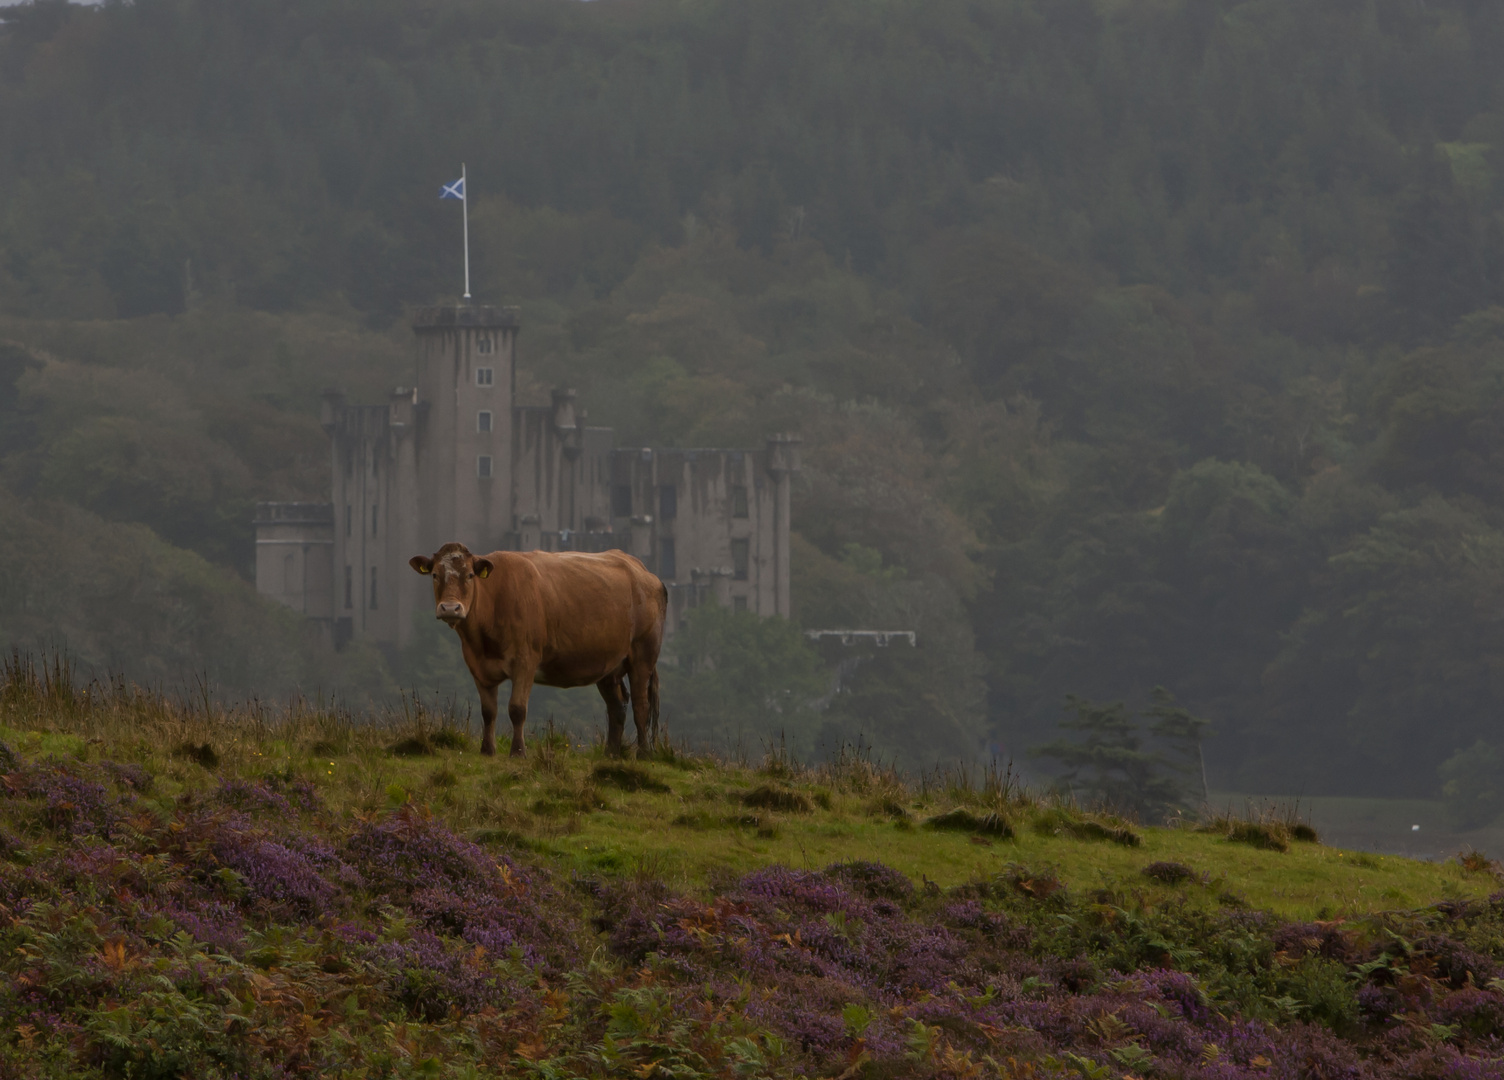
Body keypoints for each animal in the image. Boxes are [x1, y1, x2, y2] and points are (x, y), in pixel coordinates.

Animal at [415, 541, 667, 761]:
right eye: (435, 575)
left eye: (469, 575)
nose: (450, 608)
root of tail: (642, 570)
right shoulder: (478, 667)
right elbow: (488, 711)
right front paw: (487, 750)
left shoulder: (525, 661)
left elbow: (517, 709)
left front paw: (518, 752)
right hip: (608, 665)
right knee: (617, 706)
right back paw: (611, 753)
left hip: (643, 654)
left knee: (640, 705)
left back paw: (644, 753)